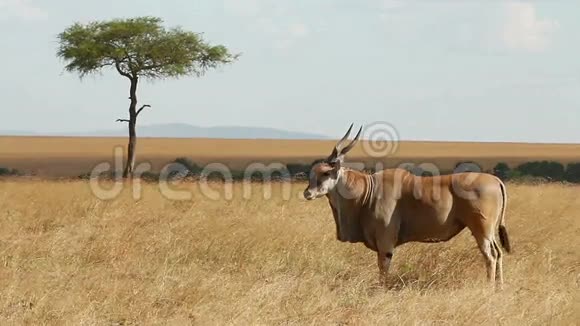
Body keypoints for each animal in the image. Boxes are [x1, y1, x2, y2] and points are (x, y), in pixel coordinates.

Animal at [304, 124, 512, 286]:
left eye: (325, 173)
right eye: (312, 172)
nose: (307, 193)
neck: (368, 191)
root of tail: (496, 181)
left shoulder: (386, 244)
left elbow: (383, 271)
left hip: (481, 230)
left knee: (491, 256)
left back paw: (489, 287)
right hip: (490, 231)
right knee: (499, 253)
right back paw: (499, 287)